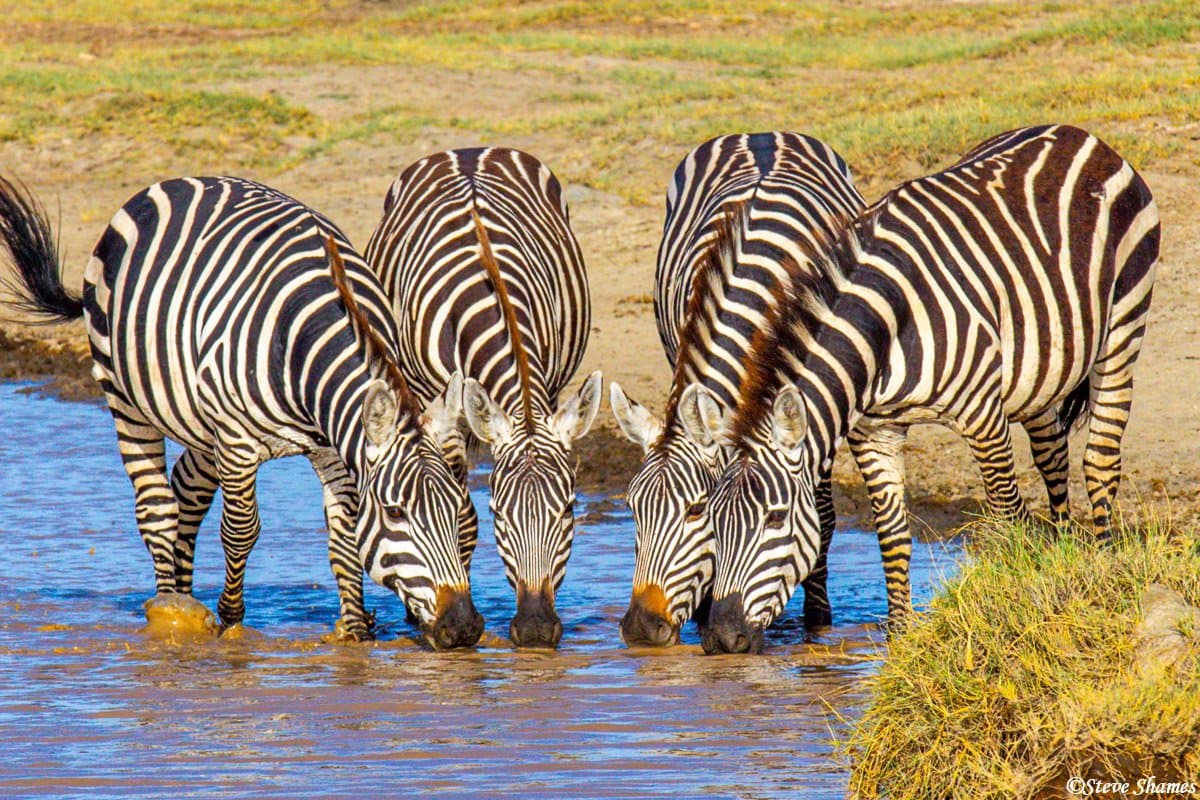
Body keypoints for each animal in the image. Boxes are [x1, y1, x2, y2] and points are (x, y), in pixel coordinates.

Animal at [0, 175, 484, 649]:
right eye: (396, 513)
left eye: (459, 509)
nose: (462, 627)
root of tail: (169, 183)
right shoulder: (236, 442)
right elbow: (241, 530)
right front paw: (231, 619)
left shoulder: (332, 448)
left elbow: (344, 534)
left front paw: (354, 630)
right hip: (124, 395)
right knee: (156, 506)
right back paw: (168, 610)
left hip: (198, 421)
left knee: (186, 489)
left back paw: (184, 598)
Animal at [365, 147, 601, 649]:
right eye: (499, 516)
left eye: (568, 510)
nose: (535, 630)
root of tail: (467, 151)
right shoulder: (438, 408)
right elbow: (459, 516)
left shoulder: (548, 382)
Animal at [608, 132, 864, 646]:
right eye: (631, 509)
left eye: (695, 511)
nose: (640, 630)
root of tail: (764, 134)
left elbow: (822, 518)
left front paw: (817, 623)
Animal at [678, 124, 1161, 653]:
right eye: (709, 521)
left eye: (776, 519)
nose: (720, 637)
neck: (888, 327)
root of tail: (1078, 135)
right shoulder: (873, 434)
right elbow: (892, 535)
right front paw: (900, 634)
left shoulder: (983, 418)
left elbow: (1004, 514)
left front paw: (1005, 605)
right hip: (1044, 363)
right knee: (1053, 454)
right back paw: (1061, 550)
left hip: (1122, 328)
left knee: (1100, 462)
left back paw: (1103, 564)